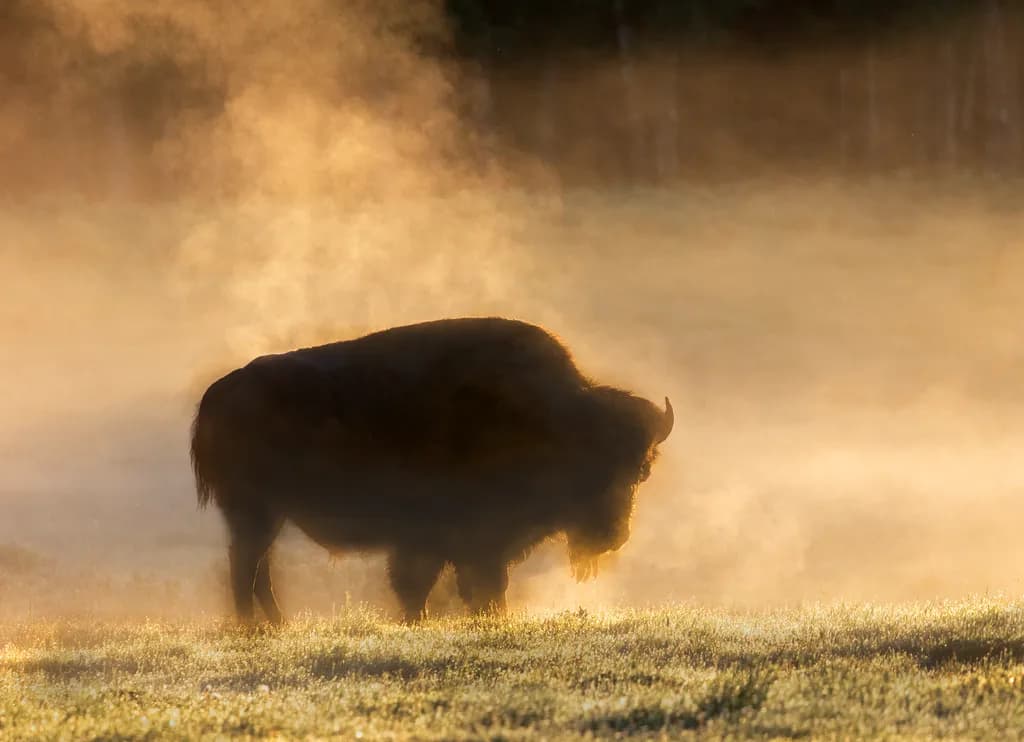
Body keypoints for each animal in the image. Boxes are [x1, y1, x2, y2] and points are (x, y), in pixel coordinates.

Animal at [191, 317, 672, 623]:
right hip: (256, 512)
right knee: (246, 566)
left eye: (641, 471)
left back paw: (276, 624)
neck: (549, 421)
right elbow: (443, 583)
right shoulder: (455, 538)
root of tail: (223, 390)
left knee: (258, 568)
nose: (613, 536)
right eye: (590, 466)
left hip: (267, 515)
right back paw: (255, 628)